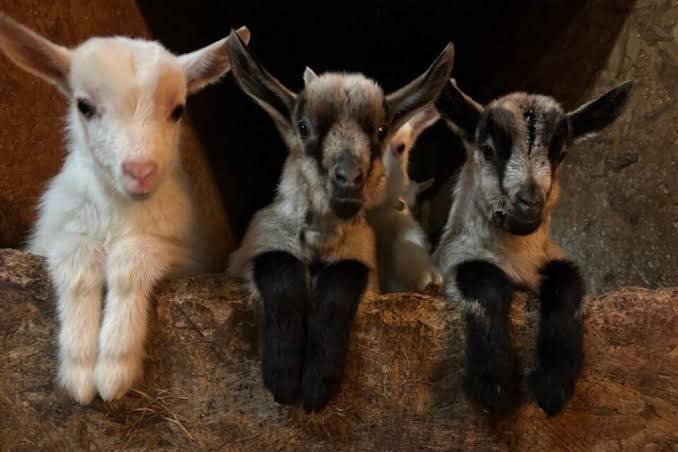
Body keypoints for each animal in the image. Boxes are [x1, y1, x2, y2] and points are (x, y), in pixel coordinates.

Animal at [0, 13, 250, 404]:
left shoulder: (182, 255)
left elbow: (132, 261)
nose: (140, 171)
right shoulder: (55, 238)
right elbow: (78, 261)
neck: (117, 211)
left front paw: (113, 367)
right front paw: (80, 369)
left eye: (177, 110)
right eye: (84, 106)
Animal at [433, 78, 632, 416]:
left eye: (560, 154)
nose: (529, 201)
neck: (517, 257)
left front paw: (553, 383)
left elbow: (569, 284)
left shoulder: (553, 258)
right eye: (488, 150)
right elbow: (481, 282)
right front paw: (492, 383)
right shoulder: (454, 259)